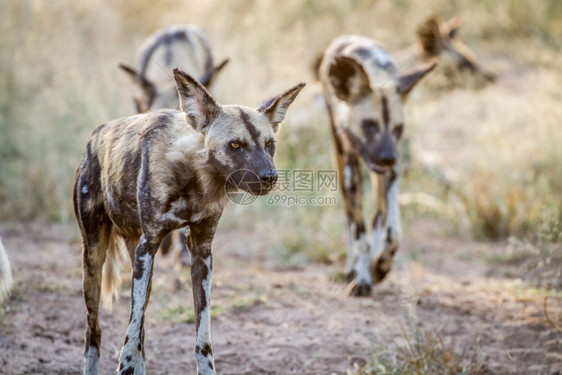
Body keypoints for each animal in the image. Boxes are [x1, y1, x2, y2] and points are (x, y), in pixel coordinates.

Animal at [72, 68, 304, 375]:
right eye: (235, 145)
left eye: (269, 144)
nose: (270, 177)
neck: (194, 177)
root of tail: (94, 136)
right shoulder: (150, 244)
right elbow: (130, 334)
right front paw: (127, 365)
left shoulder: (201, 253)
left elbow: (202, 335)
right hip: (95, 257)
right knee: (95, 329)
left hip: (138, 259)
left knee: (140, 325)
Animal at [318, 36, 436, 298]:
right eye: (369, 125)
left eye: (398, 128)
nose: (388, 157)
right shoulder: (351, 170)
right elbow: (360, 234)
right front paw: (362, 278)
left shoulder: (391, 174)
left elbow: (392, 233)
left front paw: (380, 267)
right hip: (343, 164)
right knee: (351, 221)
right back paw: (352, 267)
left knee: (378, 218)